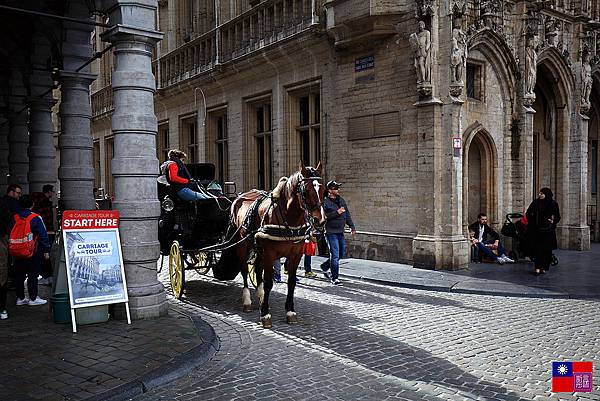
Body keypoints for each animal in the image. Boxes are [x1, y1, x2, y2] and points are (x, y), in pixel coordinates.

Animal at [219, 161, 324, 326]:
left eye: (323, 189)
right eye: (306, 191)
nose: (320, 220)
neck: (288, 218)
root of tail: (239, 197)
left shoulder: (295, 254)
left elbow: (291, 282)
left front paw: (290, 311)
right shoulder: (269, 253)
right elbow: (268, 282)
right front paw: (265, 314)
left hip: (257, 247)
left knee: (256, 268)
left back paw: (261, 296)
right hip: (242, 245)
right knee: (244, 270)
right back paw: (247, 301)